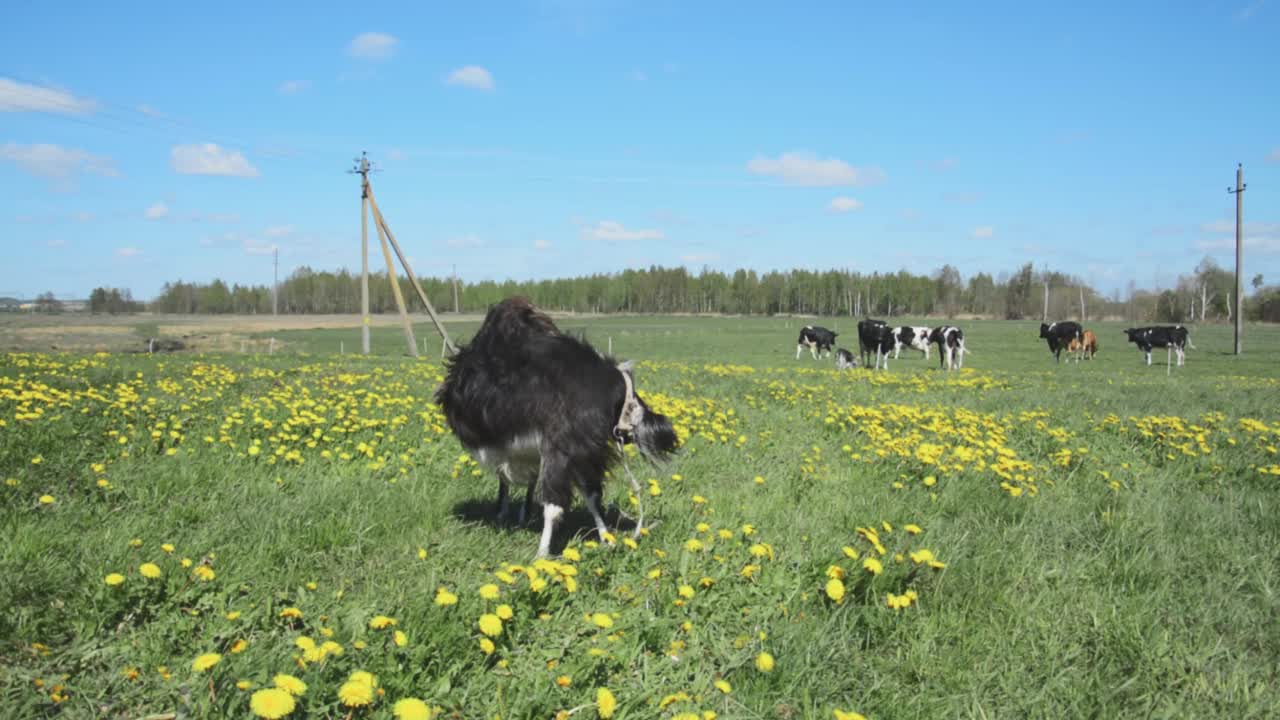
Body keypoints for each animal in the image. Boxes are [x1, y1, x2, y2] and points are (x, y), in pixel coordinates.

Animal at [435, 295, 680, 556]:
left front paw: (607, 539)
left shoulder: (582, 454)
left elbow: (591, 496)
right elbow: (554, 505)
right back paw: (505, 514)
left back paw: (520, 515)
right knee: (507, 476)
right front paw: (541, 554)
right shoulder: (561, 449)